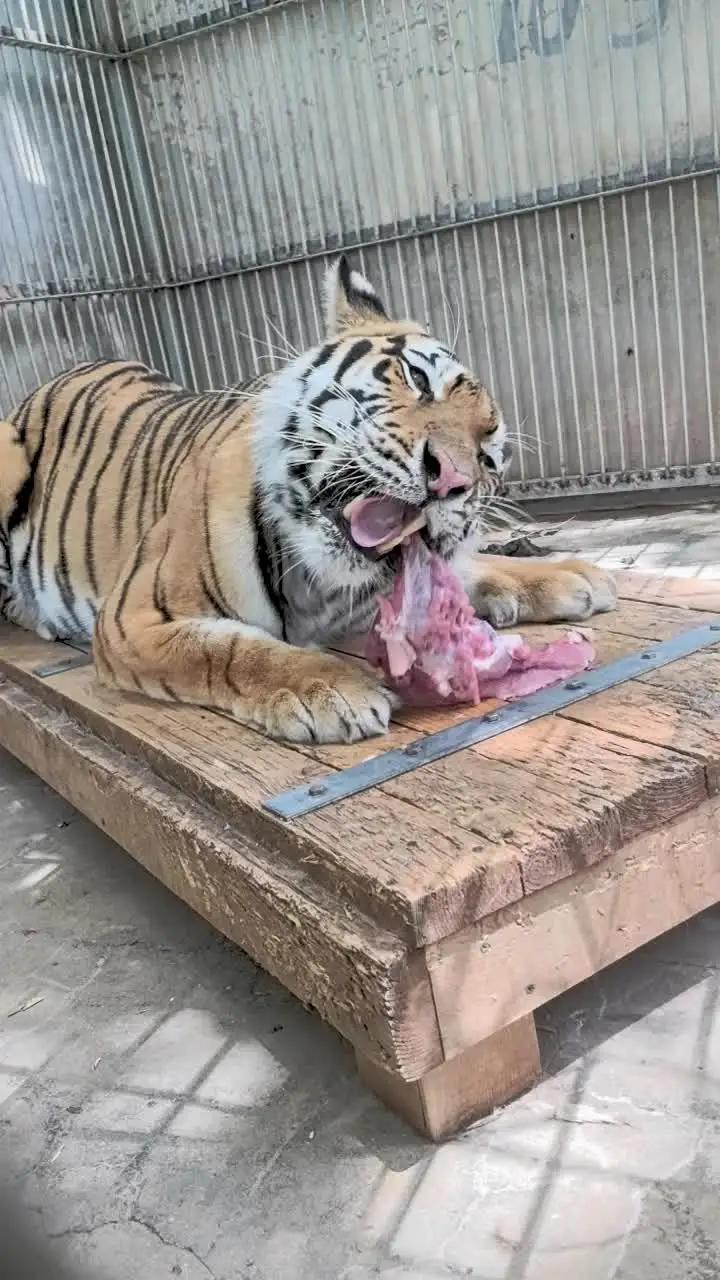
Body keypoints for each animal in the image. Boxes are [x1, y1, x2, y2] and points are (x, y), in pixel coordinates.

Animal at [0, 256, 615, 744]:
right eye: (418, 379)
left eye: (488, 455)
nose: (450, 479)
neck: (318, 583)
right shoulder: (135, 618)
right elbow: (226, 650)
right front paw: (329, 688)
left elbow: (465, 571)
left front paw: (573, 576)